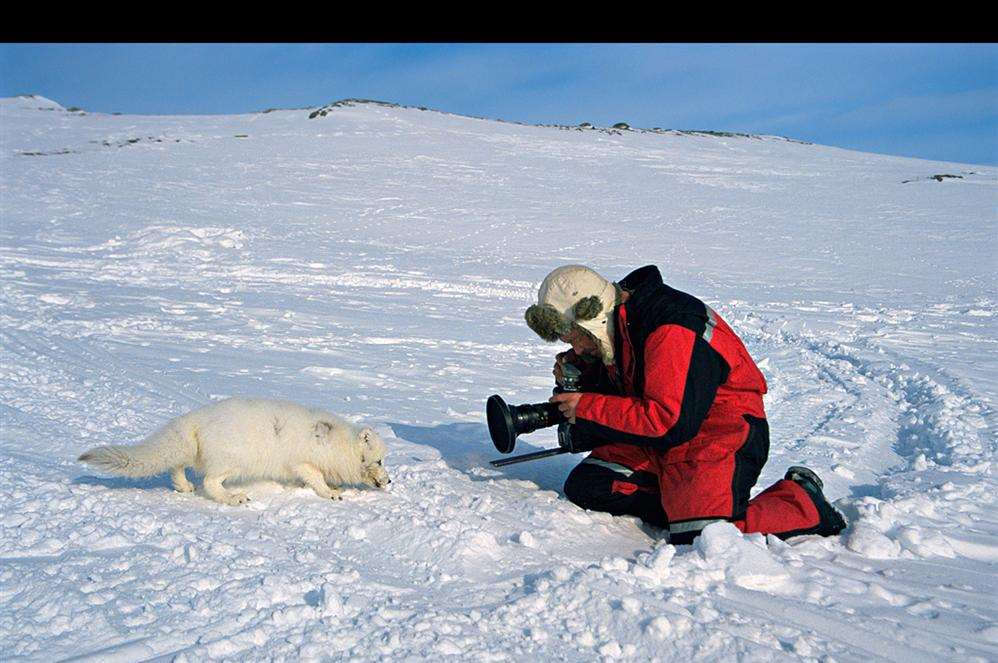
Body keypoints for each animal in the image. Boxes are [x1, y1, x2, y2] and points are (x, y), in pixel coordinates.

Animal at [79, 396, 390, 506]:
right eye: (379, 460)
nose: (389, 480)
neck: (337, 443)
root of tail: (195, 417)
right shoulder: (301, 462)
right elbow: (316, 478)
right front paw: (331, 492)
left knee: (177, 465)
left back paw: (184, 487)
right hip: (233, 462)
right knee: (209, 481)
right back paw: (232, 498)